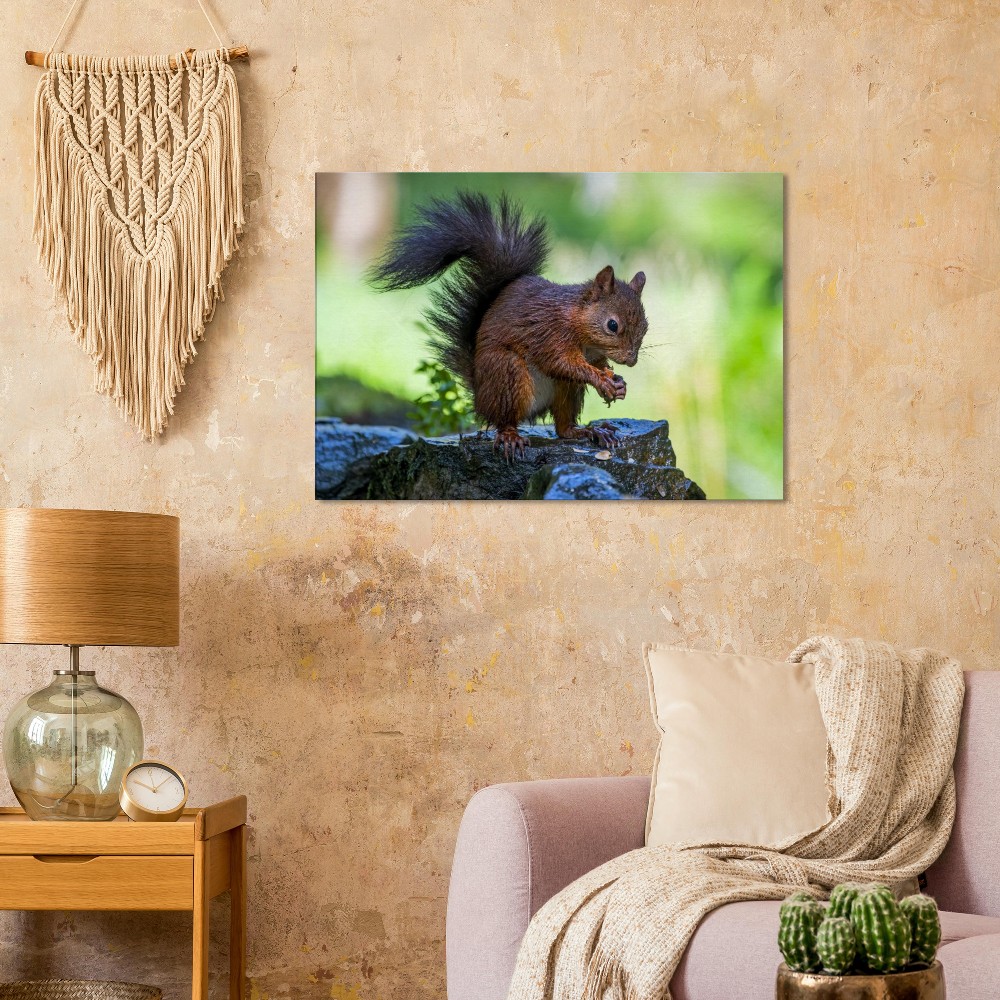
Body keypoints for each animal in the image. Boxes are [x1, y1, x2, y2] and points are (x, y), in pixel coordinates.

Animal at [369, 192, 648, 458]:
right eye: (612, 325)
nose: (631, 360)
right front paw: (602, 380)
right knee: (504, 419)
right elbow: (561, 363)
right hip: (506, 373)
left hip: (566, 390)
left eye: (645, 326)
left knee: (563, 427)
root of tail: (480, 396)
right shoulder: (550, 333)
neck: (579, 326)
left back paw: (589, 431)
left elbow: (596, 365)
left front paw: (617, 382)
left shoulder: (591, 353)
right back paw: (511, 436)